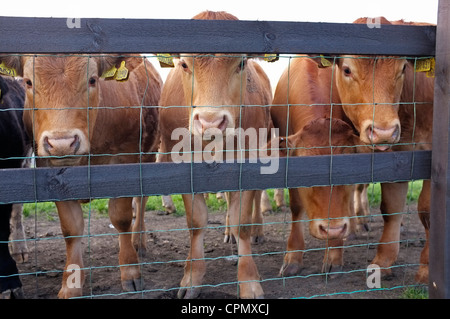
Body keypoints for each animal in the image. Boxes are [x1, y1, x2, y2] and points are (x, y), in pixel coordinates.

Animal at [0, 54, 162, 298]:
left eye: (92, 80)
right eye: (28, 82)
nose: (62, 143)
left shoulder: (125, 159)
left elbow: (121, 218)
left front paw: (130, 271)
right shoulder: (52, 172)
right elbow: (71, 228)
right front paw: (71, 284)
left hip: (149, 155)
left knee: (141, 202)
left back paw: (138, 241)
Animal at [158, 10, 274, 300]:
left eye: (241, 63)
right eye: (184, 65)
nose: (210, 121)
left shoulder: (249, 158)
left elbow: (243, 218)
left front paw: (249, 281)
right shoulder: (183, 163)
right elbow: (196, 222)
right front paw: (192, 276)